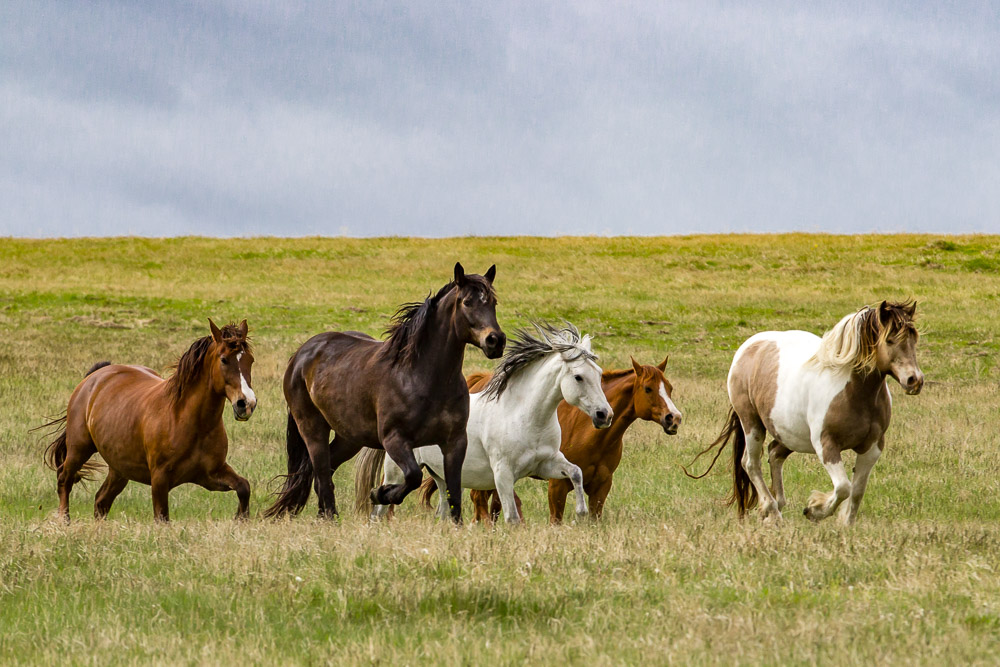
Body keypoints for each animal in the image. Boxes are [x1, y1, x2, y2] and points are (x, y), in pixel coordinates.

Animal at [42, 320, 258, 524]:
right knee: (64, 479)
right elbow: (162, 518)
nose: (246, 404)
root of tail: (93, 379)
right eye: (224, 359)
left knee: (101, 501)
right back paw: (64, 521)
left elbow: (243, 487)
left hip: (119, 469)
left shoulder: (210, 474)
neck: (188, 420)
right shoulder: (160, 480)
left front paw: (240, 519)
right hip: (79, 449)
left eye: (250, 360)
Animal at [264, 264, 504, 524]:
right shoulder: (394, 439)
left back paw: (325, 517)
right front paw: (381, 493)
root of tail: (301, 354)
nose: (496, 341)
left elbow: (454, 491)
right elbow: (413, 476)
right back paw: (331, 517)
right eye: (467, 302)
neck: (420, 377)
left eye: (493, 302)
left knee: (323, 473)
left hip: (350, 437)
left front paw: (455, 526)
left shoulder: (455, 442)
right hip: (312, 429)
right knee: (321, 473)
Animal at [356, 324, 612, 528]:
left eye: (599, 373)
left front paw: (581, 511)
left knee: (443, 513)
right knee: (379, 510)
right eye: (578, 377)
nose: (605, 415)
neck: (523, 416)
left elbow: (575, 472)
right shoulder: (503, 473)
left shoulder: (545, 464)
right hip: (397, 472)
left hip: (441, 475)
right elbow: (512, 518)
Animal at [418, 358, 684, 524]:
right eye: (648, 389)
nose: (674, 418)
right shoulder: (557, 486)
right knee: (480, 502)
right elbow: (555, 519)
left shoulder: (602, 486)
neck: (592, 436)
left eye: (670, 388)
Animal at [684, 302, 924, 528]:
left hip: (788, 434)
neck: (853, 392)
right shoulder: (826, 446)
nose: (914, 380)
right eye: (890, 340)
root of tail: (748, 347)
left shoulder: (872, 448)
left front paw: (846, 525)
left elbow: (856, 491)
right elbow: (843, 488)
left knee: (774, 454)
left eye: (914, 338)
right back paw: (771, 511)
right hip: (752, 423)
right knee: (751, 463)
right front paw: (814, 510)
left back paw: (776, 505)